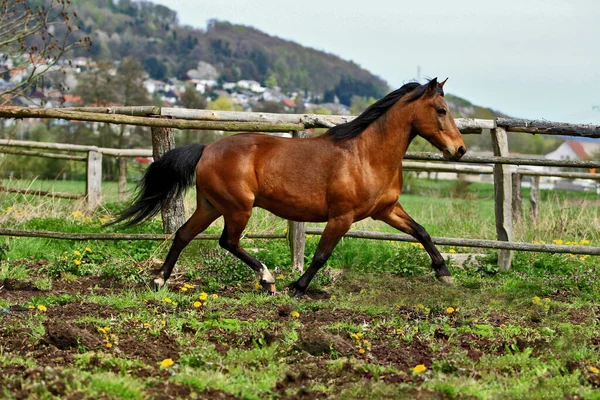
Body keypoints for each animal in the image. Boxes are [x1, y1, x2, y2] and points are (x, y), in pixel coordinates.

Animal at [112, 77, 468, 296]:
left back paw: (159, 279)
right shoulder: (342, 216)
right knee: (228, 241)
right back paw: (267, 279)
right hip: (238, 207)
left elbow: (421, 232)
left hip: (210, 206)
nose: (460, 150)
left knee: (183, 234)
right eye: (441, 110)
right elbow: (321, 255)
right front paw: (296, 288)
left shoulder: (387, 210)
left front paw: (444, 273)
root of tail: (207, 149)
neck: (366, 155)